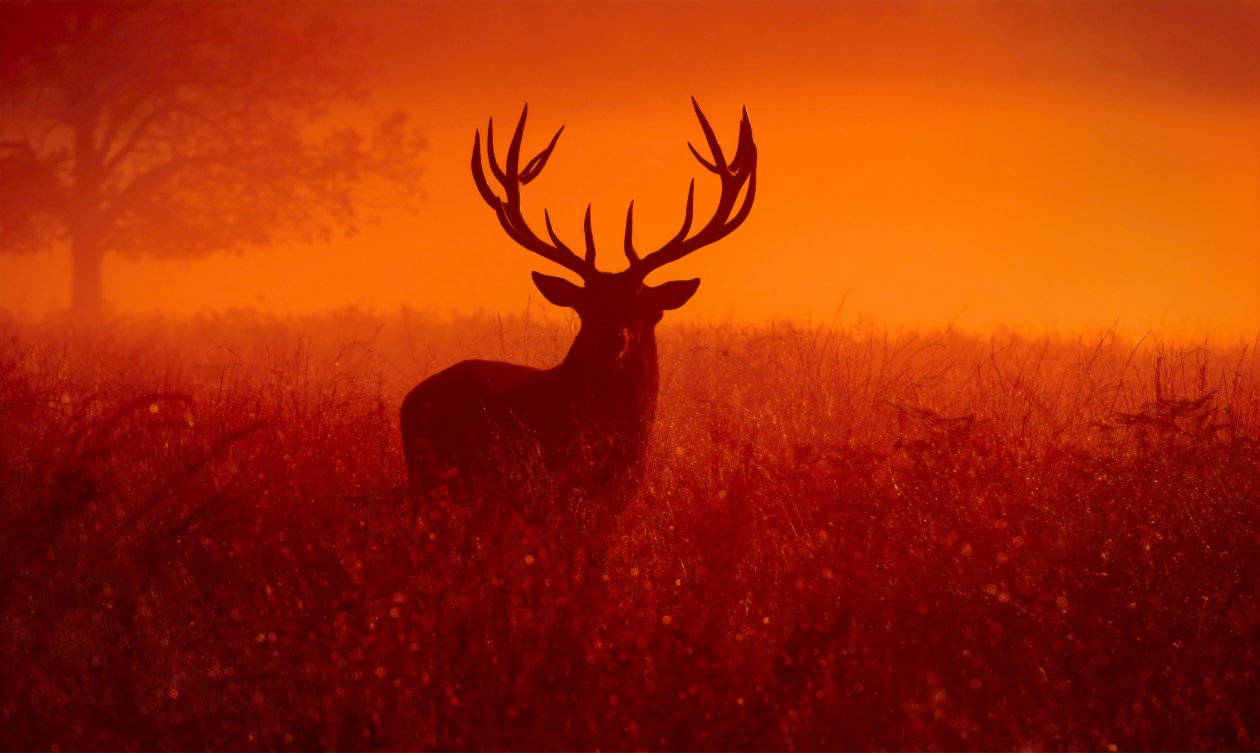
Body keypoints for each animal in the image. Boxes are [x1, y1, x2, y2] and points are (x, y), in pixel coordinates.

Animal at [400, 99, 756, 544]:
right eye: (585, 306)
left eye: (645, 307)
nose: (612, 337)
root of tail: (408, 401)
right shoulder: (546, 494)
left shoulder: (615, 501)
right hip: (433, 483)